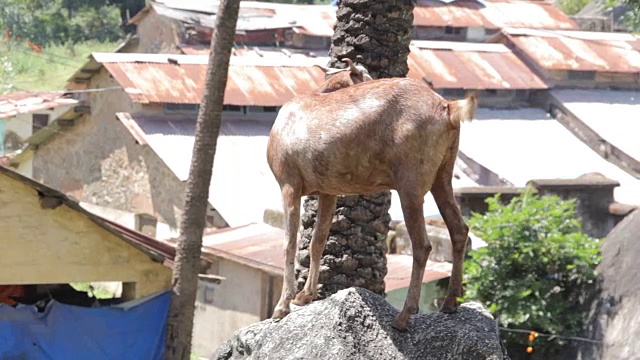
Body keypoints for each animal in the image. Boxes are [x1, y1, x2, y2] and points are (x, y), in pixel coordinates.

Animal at [264, 72, 476, 330]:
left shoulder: (289, 183)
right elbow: (317, 240)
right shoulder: (328, 190)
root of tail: (449, 108)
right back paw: (450, 303)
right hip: (443, 175)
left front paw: (281, 307)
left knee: (422, 245)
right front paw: (305, 295)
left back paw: (403, 316)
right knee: (459, 230)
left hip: (410, 182)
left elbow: (289, 244)